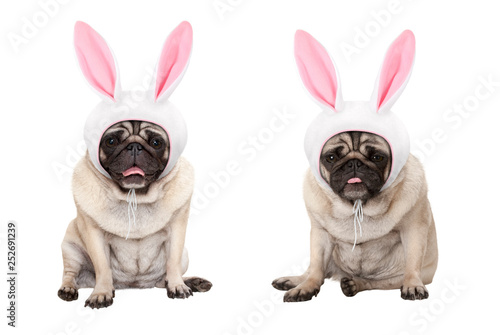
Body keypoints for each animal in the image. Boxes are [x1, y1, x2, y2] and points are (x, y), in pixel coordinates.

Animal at [58, 21, 211, 310]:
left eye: (155, 142)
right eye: (111, 140)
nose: (134, 147)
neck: (135, 197)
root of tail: (135, 285)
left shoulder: (178, 231)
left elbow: (172, 261)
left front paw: (178, 286)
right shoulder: (93, 234)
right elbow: (102, 266)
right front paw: (101, 293)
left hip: (184, 255)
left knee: (168, 274)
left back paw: (190, 282)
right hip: (70, 247)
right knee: (71, 274)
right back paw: (69, 289)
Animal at [274, 29, 438, 302]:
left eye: (377, 157)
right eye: (331, 158)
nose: (353, 164)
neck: (357, 206)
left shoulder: (414, 228)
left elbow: (412, 262)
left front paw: (413, 285)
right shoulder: (320, 235)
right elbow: (315, 267)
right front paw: (306, 288)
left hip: (399, 274)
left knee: (380, 282)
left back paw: (354, 283)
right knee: (315, 270)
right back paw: (295, 280)